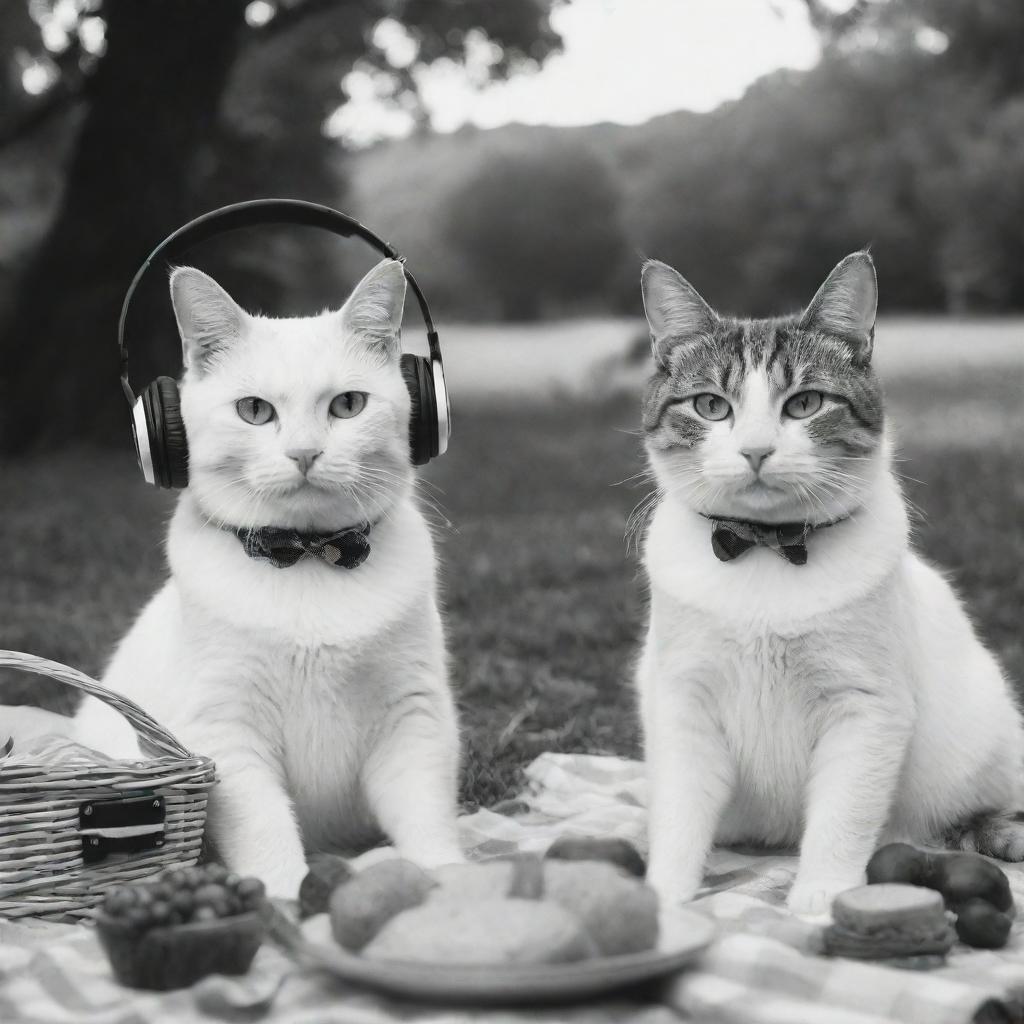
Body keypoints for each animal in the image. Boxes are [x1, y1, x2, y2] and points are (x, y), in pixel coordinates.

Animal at [77, 258, 462, 897]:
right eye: (254, 411)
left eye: (348, 405)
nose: (304, 453)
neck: (307, 557)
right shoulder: (226, 734)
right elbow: (267, 837)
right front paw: (286, 904)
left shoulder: (414, 718)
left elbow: (426, 817)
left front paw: (451, 880)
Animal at [634, 251, 1019, 917]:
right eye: (711, 406)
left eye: (805, 403)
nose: (756, 450)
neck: (765, 550)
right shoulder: (684, 702)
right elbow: (680, 817)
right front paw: (664, 898)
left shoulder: (866, 709)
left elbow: (842, 817)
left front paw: (820, 898)